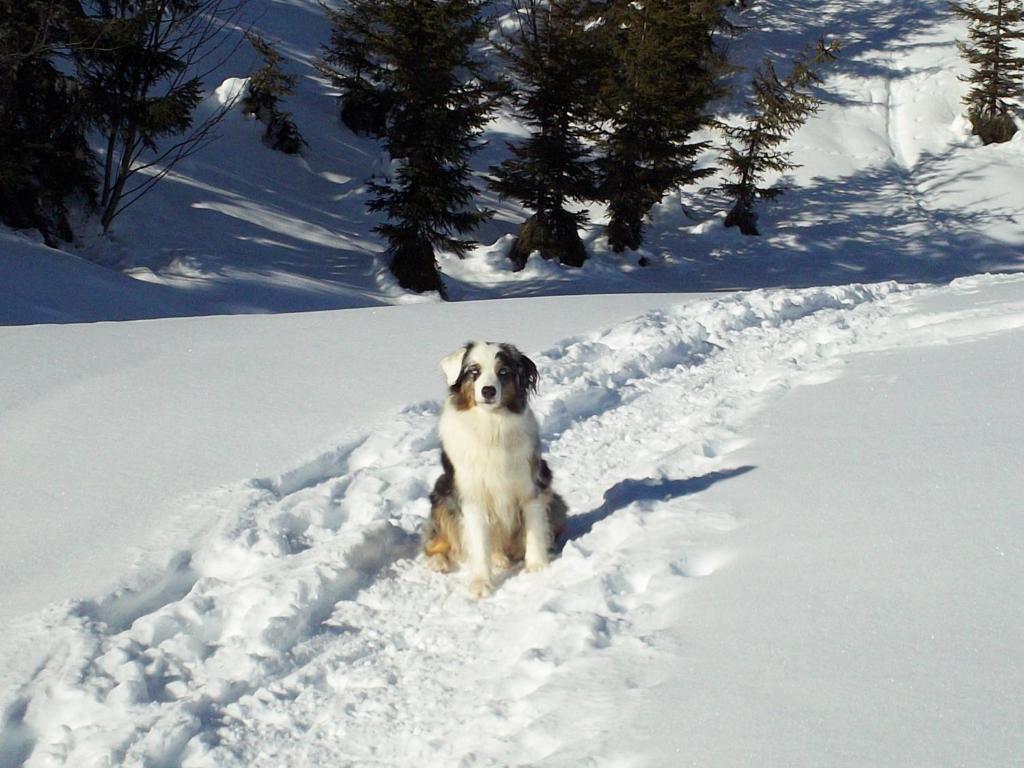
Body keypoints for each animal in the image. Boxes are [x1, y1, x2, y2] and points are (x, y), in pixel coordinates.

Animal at [421, 342, 569, 602]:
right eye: (474, 372)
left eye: (503, 372)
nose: (488, 391)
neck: (491, 426)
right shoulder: (471, 497)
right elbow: (479, 545)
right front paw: (481, 584)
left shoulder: (531, 487)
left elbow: (534, 531)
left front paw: (538, 567)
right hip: (442, 495)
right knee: (435, 545)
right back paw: (440, 562)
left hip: (556, 501)